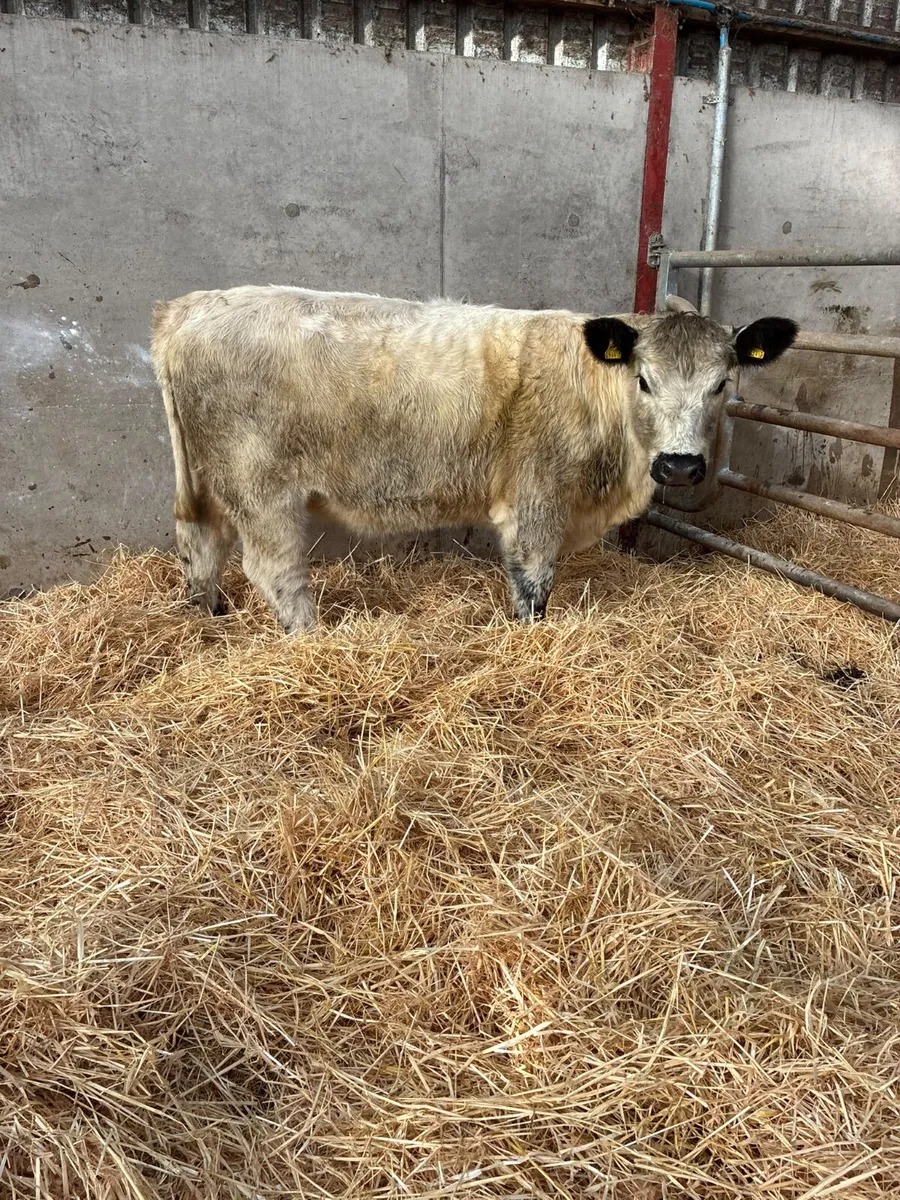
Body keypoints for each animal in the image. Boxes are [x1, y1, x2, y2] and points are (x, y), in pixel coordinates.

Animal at [150, 286, 796, 632]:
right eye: (644, 380)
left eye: (722, 384)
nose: (681, 467)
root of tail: (190, 307)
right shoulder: (538, 497)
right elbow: (533, 582)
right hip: (261, 489)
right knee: (274, 571)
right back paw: (312, 640)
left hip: (205, 481)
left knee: (199, 546)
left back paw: (208, 621)